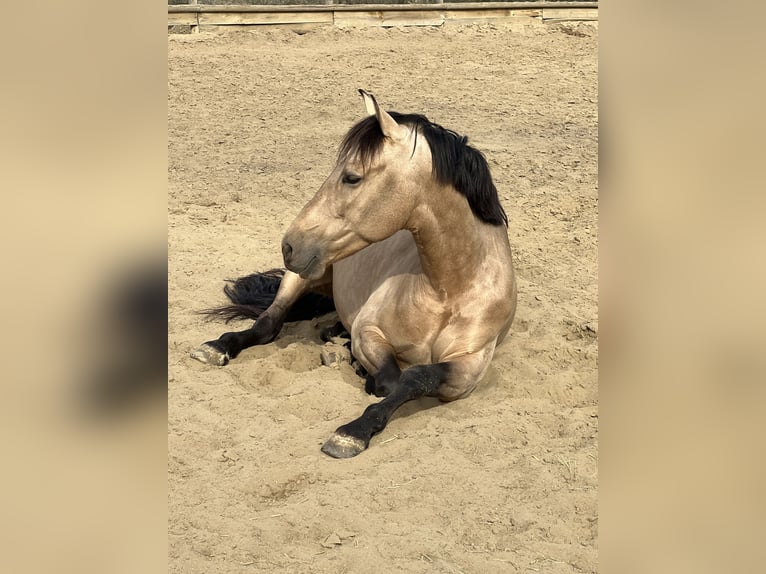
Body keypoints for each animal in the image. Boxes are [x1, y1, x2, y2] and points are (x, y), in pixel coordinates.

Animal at [189, 90, 520, 460]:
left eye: (351, 177)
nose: (289, 244)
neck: (447, 290)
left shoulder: (469, 368)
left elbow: (416, 378)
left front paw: (355, 420)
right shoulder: (368, 331)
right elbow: (391, 379)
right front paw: (355, 417)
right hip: (298, 277)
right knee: (267, 323)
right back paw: (219, 347)